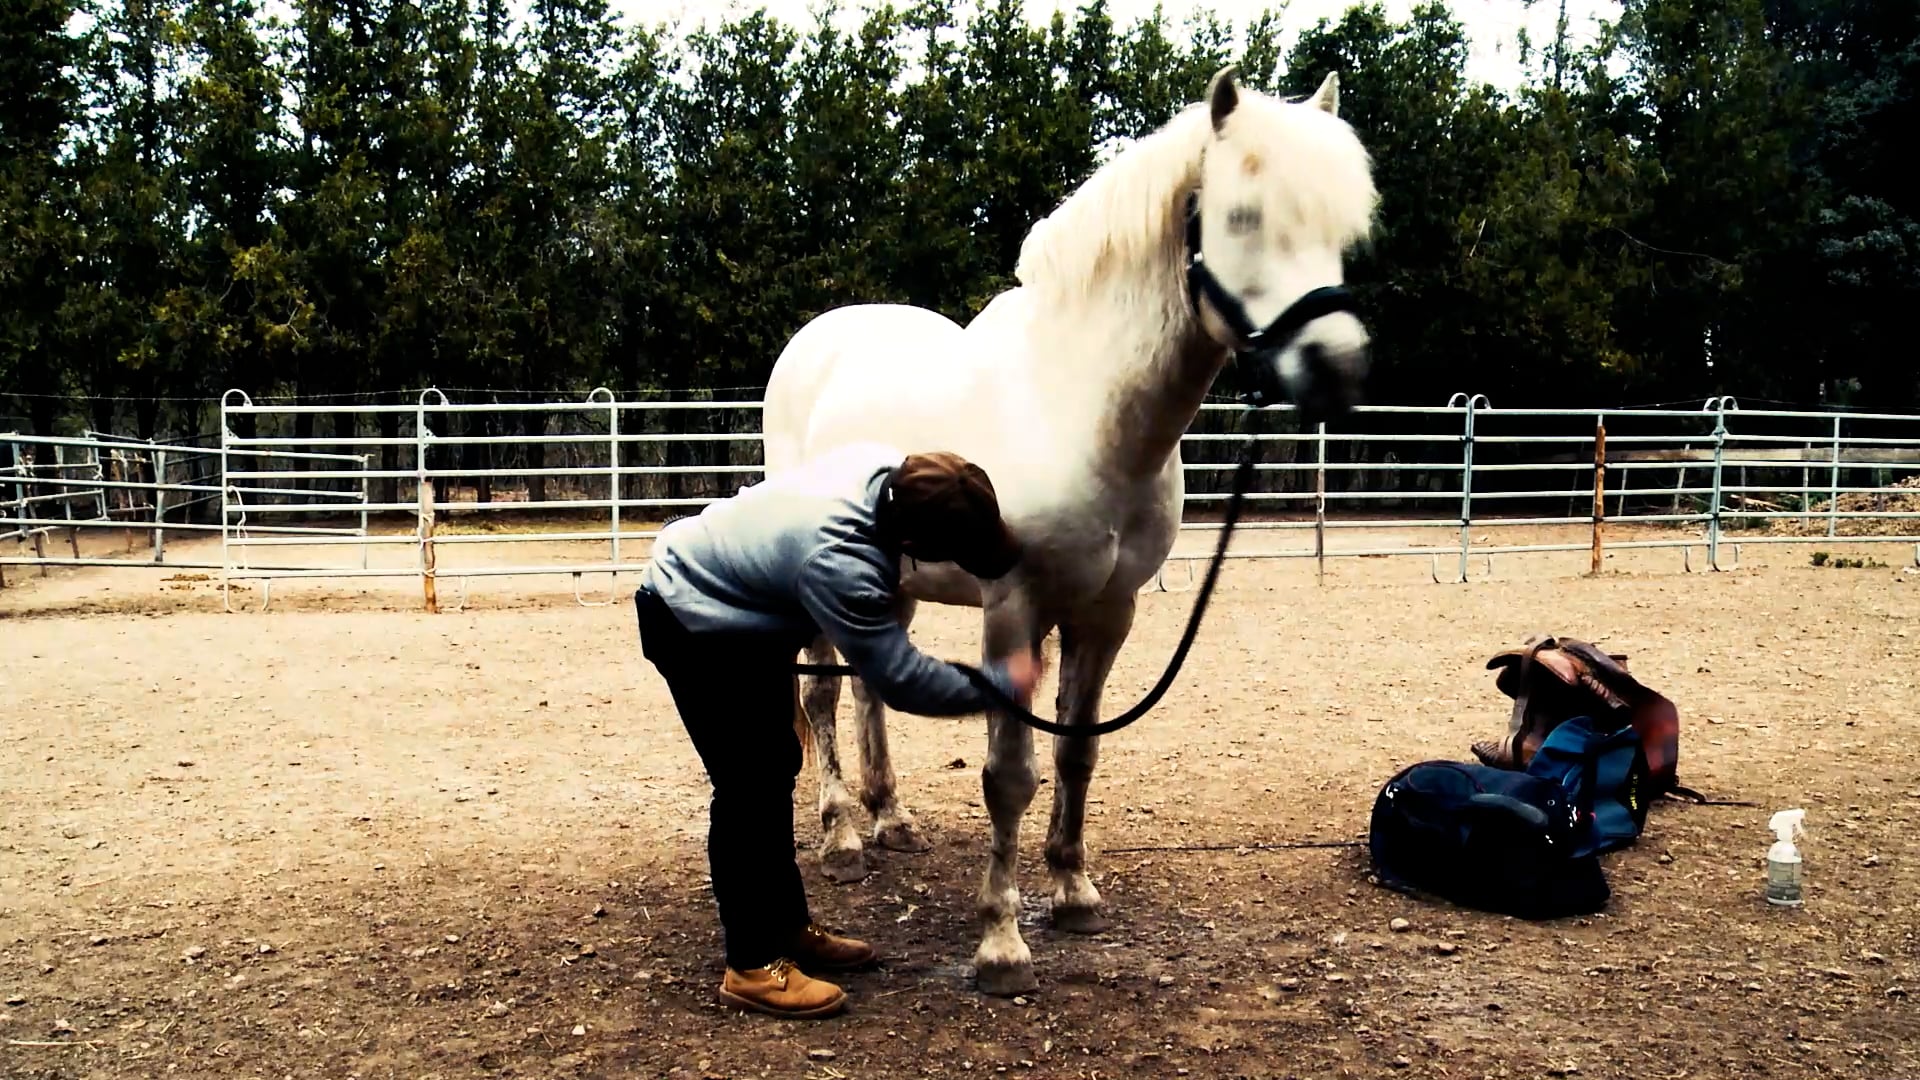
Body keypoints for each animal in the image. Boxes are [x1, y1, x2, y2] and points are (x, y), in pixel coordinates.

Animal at [756, 67, 1374, 991]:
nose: (1338, 370)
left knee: (867, 688)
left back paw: (891, 819)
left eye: (1345, 228)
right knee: (823, 694)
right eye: (1242, 217)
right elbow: (1009, 775)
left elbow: (1078, 752)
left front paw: (1074, 892)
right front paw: (1001, 943)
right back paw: (840, 837)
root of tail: (815, 345)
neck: (1079, 408)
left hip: (891, 578)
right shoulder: (1014, 610)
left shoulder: (1107, 613)